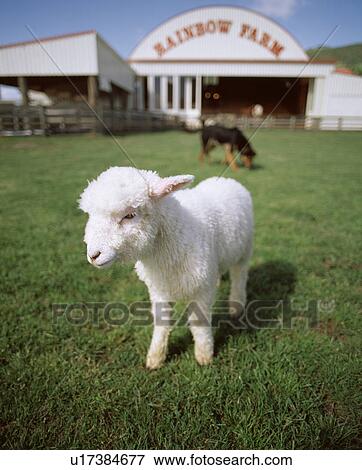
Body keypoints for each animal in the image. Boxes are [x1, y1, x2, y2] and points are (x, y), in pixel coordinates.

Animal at [79, 167, 255, 370]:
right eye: (91, 215)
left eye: (130, 215)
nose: (93, 255)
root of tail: (228, 180)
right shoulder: (159, 289)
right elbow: (161, 322)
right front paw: (155, 357)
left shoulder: (201, 289)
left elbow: (199, 323)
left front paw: (204, 354)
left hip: (245, 250)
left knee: (239, 276)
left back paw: (236, 305)